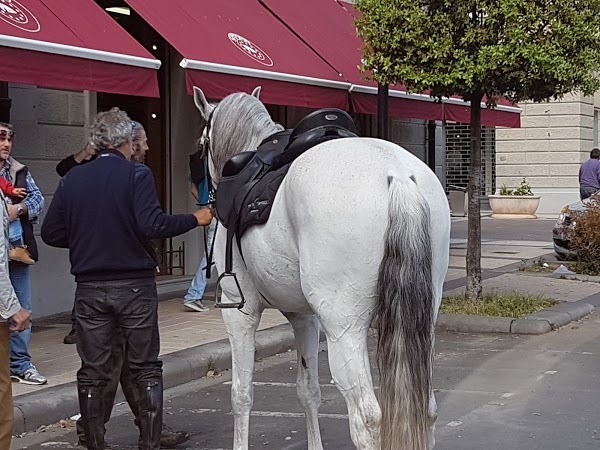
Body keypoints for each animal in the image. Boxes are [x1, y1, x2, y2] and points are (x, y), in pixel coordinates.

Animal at [192, 85, 450, 450]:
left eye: (202, 145)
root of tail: (398, 176)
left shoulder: (239, 312)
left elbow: (241, 393)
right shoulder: (305, 317)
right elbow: (308, 390)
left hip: (345, 328)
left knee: (367, 417)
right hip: (422, 320)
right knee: (427, 410)